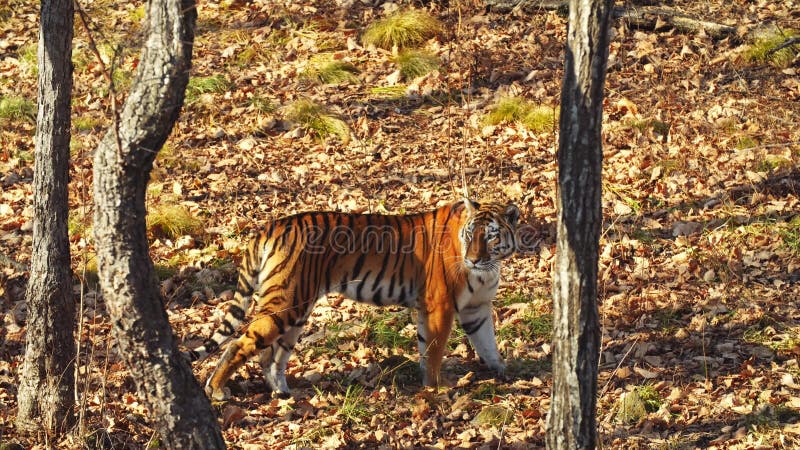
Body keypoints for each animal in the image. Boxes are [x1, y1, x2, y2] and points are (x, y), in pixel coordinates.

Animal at [187, 199, 520, 400]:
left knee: (272, 356)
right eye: (470, 234)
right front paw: (435, 387)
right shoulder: (441, 306)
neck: (488, 269)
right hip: (284, 302)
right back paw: (216, 389)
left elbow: (487, 344)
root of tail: (270, 225)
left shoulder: (476, 308)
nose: (473, 259)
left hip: (297, 310)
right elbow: (434, 350)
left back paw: (283, 393)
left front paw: (505, 372)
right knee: (241, 343)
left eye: (491, 236)